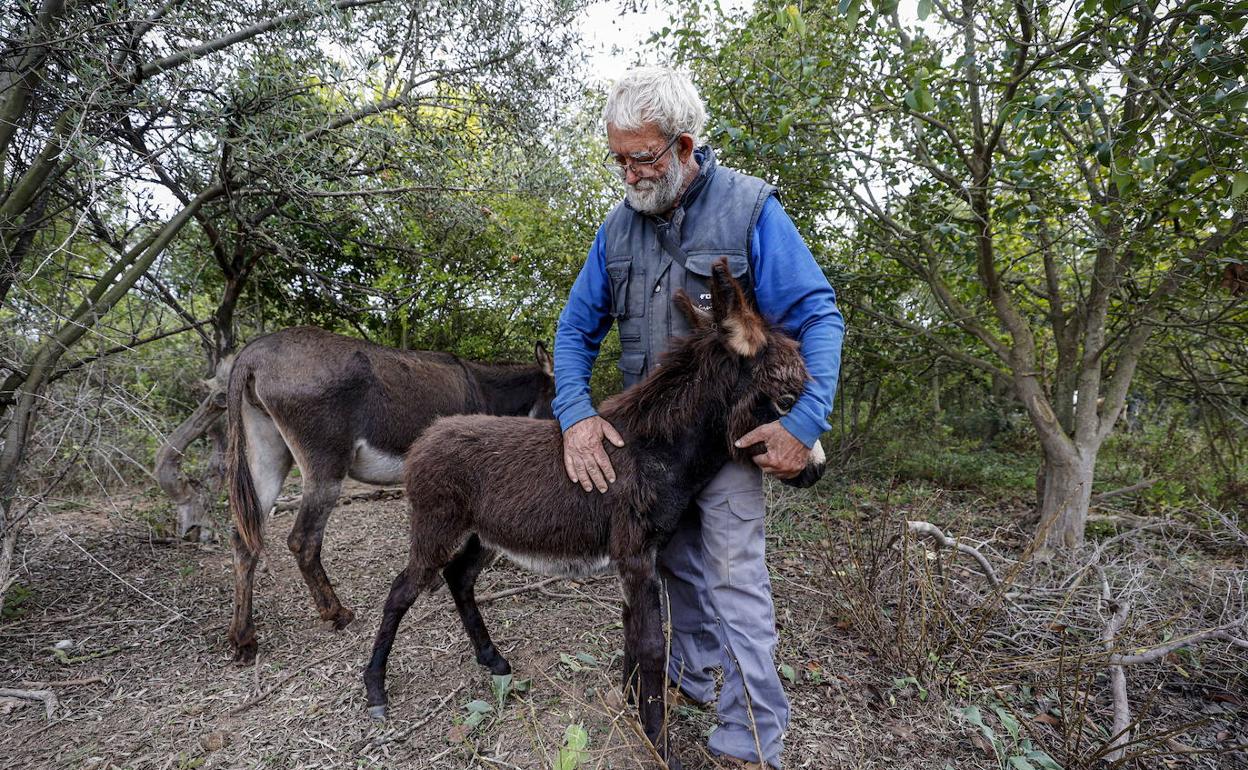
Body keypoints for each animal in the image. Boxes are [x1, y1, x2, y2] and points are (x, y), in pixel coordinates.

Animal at [225, 324, 556, 658]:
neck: (486, 390)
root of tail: (255, 353)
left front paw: (431, 580)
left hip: (270, 453)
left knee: (244, 539)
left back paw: (243, 638)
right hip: (325, 467)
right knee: (303, 541)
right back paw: (336, 613)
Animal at [364, 260, 818, 763]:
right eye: (787, 397)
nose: (813, 470)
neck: (653, 450)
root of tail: (426, 437)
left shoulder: (640, 558)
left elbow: (632, 632)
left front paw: (632, 705)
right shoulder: (635, 555)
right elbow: (652, 645)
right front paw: (660, 744)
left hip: (484, 535)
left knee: (459, 578)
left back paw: (493, 659)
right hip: (437, 527)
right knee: (401, 591)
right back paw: (376, 691)